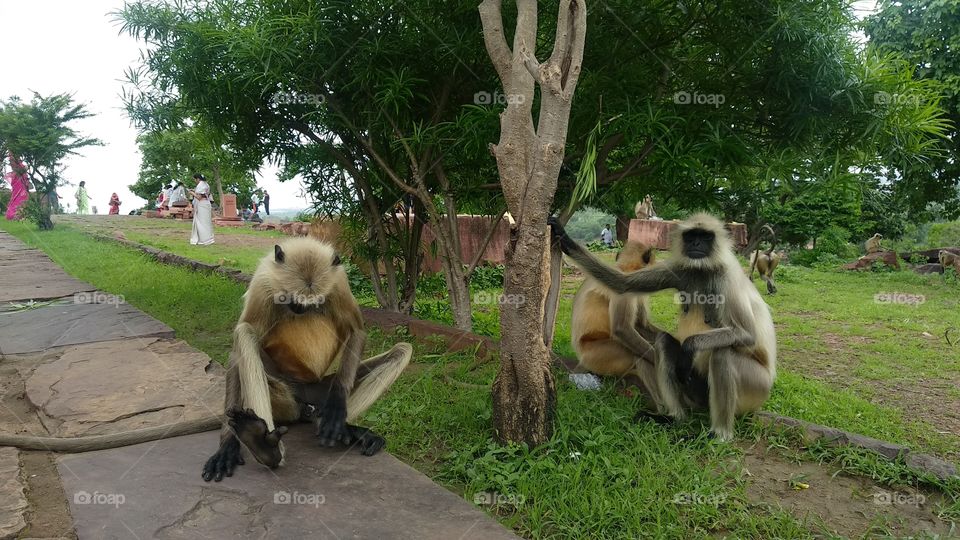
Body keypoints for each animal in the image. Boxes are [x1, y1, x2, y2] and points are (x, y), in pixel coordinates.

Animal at [201, 237, 413, 481]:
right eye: (291, 299)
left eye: (311, 303)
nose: (299, 309)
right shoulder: (262, 284)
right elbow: (237, 352)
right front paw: (228, 446)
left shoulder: (338, 280)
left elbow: (357, 330)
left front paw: (338, 404)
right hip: (286, 397)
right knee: (245, 333)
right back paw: (263, 445)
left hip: (319, 391)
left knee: (402, 350)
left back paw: (341, 428)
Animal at [570, 242, 663, 399]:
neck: (623, 268)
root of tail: (581, 356)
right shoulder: (626, 290)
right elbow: (622, 329)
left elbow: (640, 324)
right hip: (597, 356)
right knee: (637, 355)